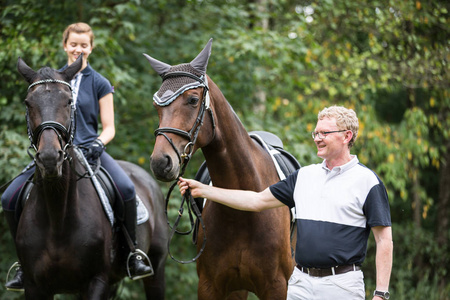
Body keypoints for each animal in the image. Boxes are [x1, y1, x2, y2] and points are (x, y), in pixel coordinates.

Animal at [14, 55, 169, 298]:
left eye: (69, 101)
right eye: (28, 103)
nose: (49, 157)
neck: (58, 217)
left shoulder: (96, 281)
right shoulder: (34, 286)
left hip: (156, 268)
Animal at [142, 39, 294, 298]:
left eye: (193, 100)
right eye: (156, 106)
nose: (160, 162)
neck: (242, 211)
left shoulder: (276, 286)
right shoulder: (210, 285)